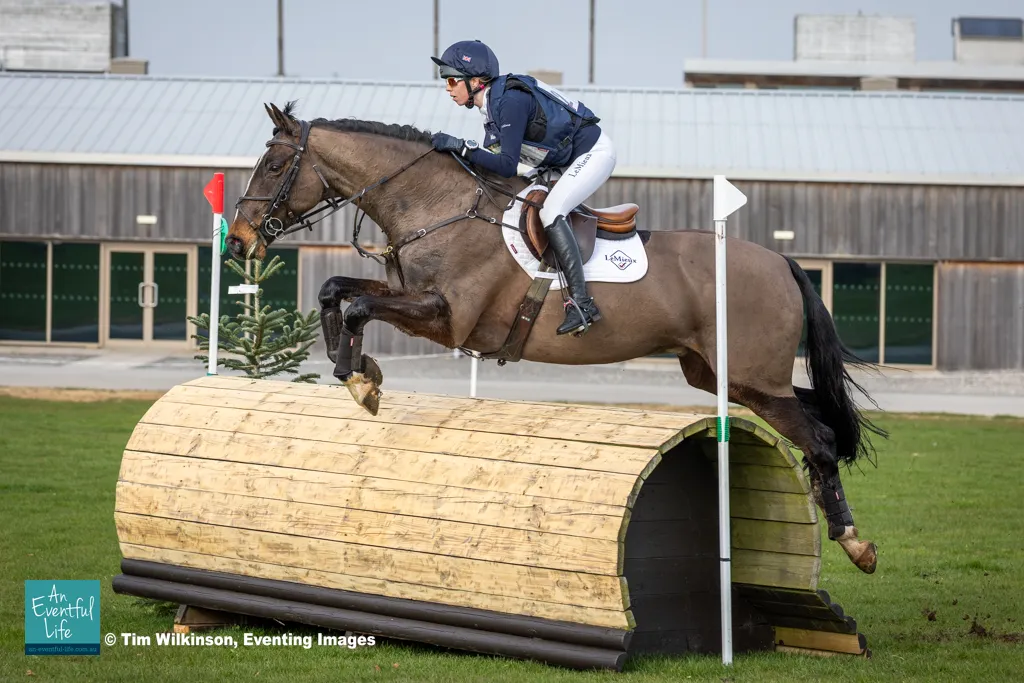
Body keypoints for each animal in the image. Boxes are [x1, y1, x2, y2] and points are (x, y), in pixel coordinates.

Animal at [227, 102, 887, 575]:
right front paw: (357, 370)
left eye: (275, 166)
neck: (435, 204)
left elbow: (360, 305)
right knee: (821, 418)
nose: (238, 241)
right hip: (722, 375)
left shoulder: (447, 317)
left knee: (821, 438)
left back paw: (855, 543)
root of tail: (782, 261)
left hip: (751, 376)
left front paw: (359, 377)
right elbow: (335, 289)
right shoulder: (414, 299)